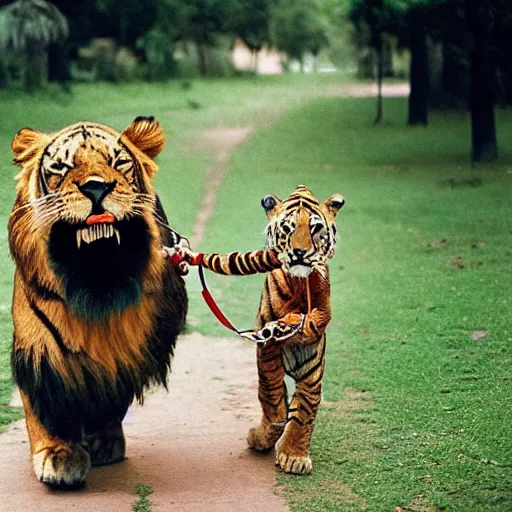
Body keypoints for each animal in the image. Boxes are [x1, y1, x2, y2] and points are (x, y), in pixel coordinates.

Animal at [7, 117, 188, 488]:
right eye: (61, 168)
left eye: (117, 163)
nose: (95, 189)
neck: (97, 281)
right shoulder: (39, 347)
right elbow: (46, 403)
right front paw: (58, 453)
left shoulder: (131, 345)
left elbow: (111, 392)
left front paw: (104, 441)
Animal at [184, 185, 344, 476]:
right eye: (289, 228)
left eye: (315, 228)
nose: (300, 253)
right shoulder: (267, 350)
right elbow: (271, 392)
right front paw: (271, 430)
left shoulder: (312, 364)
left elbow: (305, 410)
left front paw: (293, 456)